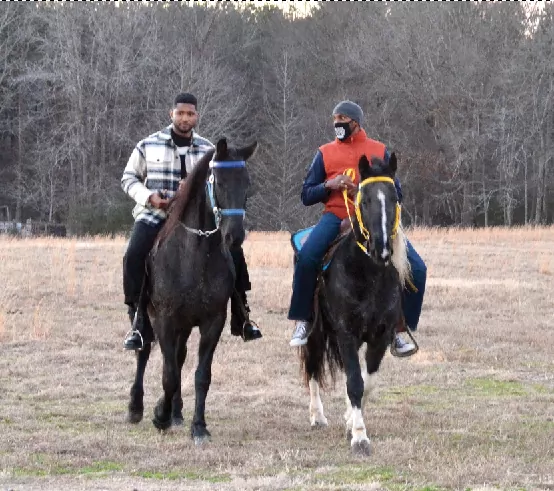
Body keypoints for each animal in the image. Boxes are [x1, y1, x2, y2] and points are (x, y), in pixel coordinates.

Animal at [299, 153, 410, 456]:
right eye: (365, 199)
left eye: (394, 197)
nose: (382, 249)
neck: (367, 273)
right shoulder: (346, 334)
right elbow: (354, 382)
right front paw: (360, 437)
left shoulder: (380, 336)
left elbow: (366, 382)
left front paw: (351, 421)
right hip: (316, 333)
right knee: (312, 368)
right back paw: (317, 416)